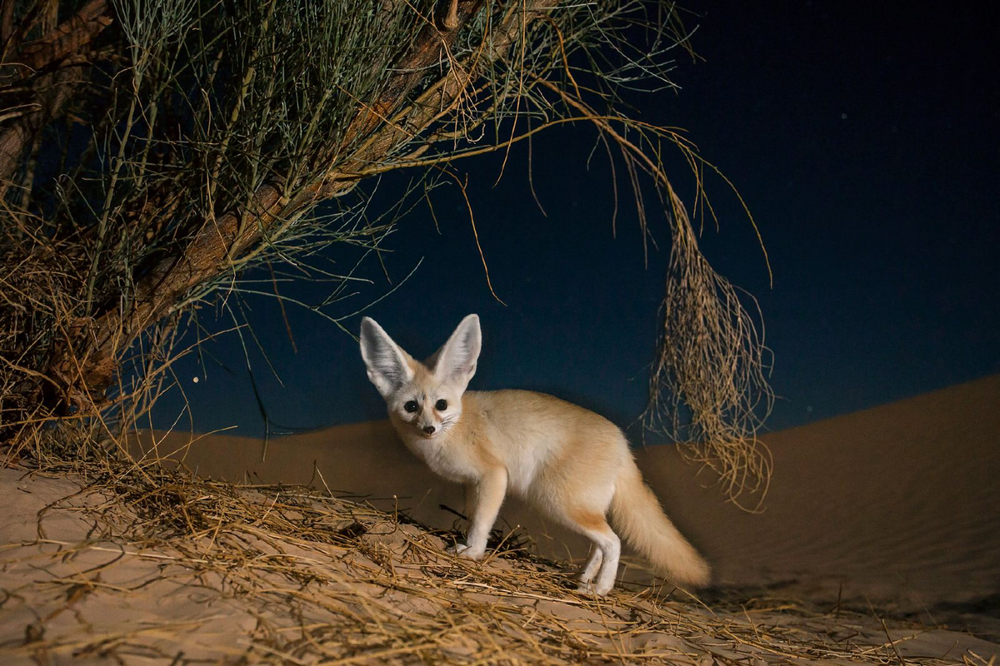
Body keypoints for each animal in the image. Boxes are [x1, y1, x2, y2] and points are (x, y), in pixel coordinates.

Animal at [360, 314, 712, 592]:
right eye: (411, 407)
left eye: (441, 405)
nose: (429, 429)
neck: (457, 426)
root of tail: (624, 444)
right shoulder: (473, 484)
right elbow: (474, 516)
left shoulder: (494, 475)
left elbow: (482, 522)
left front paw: (472, 553)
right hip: (582, 507)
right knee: (599, 545)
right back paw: (583, 579)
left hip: (558, 501)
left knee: (613, 542)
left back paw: (600, 589)